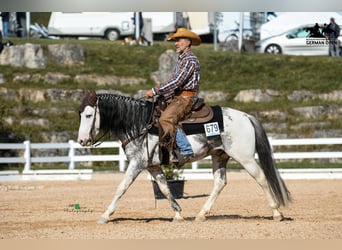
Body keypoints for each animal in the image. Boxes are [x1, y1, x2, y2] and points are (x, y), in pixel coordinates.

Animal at [77, 90, 292, 225]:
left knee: (261, 178)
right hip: (219, 156)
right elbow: (164, 188)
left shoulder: (137, 164)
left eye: (88, 115)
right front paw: (178, 214)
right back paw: (201, 214)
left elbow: (121, 188)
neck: (139, 124)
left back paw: (276, 213)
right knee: (219, 183)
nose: (81, 140)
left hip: (245, 157)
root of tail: (246, 116)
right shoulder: (152, 166)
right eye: (80, 114)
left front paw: (105, 216)